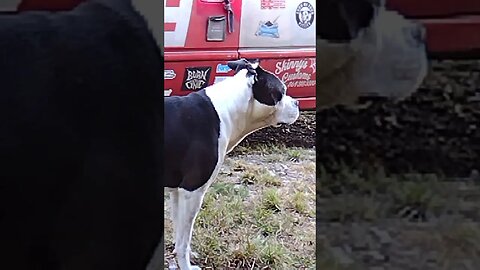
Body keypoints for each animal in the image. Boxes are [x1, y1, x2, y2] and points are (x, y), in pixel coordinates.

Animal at [165, 58, 300, 268]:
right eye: (282, 91)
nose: (297, 102)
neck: (226, 110)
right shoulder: (192, 191)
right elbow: (184, 240)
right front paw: (186, 266)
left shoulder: (178, 192)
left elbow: (180, 233)